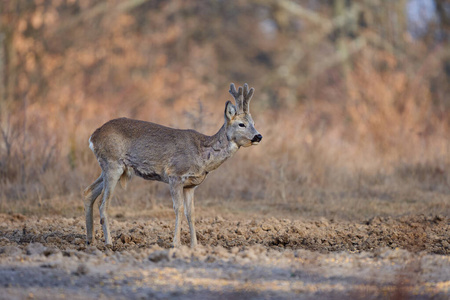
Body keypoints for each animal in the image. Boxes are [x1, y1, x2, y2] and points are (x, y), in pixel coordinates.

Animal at [82, 83, 262, 247]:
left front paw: (195, 245)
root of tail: (93, 136)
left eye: (253, 122)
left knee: (88, 192)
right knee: (103, 203)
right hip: (112, 164)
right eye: (241, 124)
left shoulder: (191, 185)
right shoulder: (175, 175)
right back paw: (109, 242)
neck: (202, 156)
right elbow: (179, 209)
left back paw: (90, 240)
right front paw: (176, 243)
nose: (258, 136)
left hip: (111, 167)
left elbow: (191, 213)